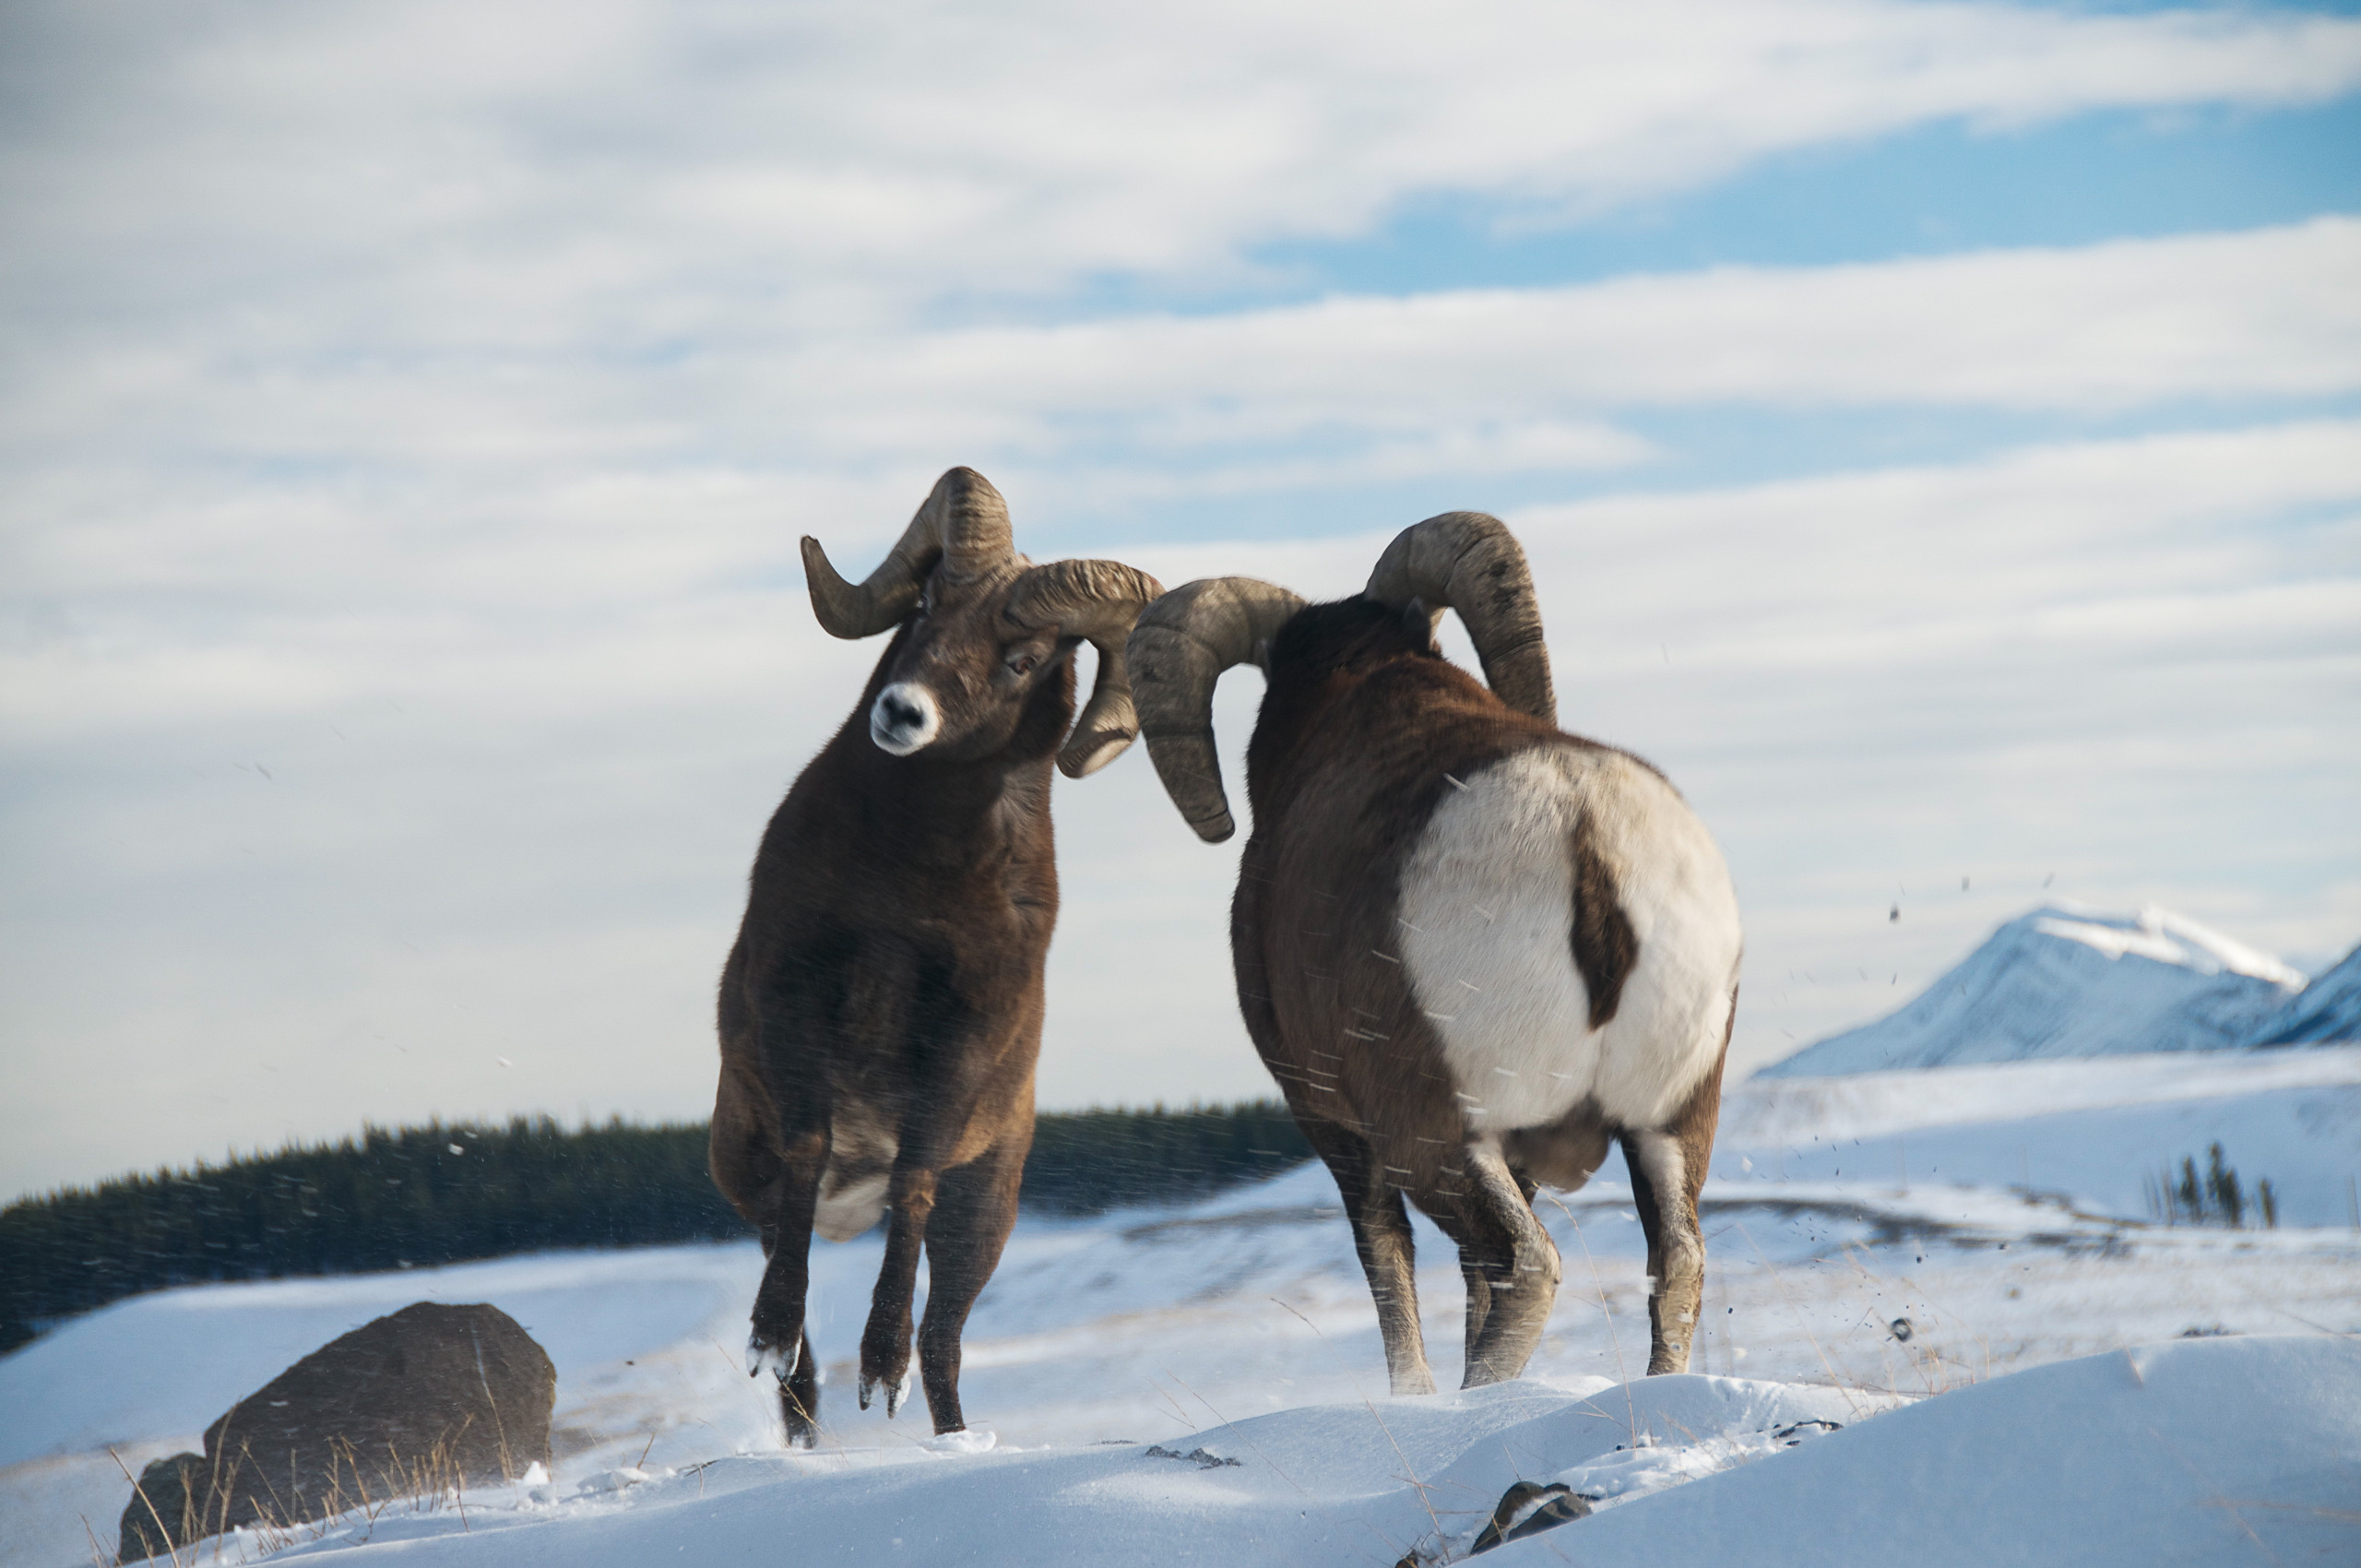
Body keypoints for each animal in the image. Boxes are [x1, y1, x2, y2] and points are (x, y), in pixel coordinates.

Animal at [713, 467, 1166, 1444]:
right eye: (927, 603)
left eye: (1022, 659)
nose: (901, 712)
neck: (906, 888)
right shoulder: (793, 997)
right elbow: (808, 1151)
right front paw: (770, 1333)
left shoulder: (962, 1045)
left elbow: (913, 1187)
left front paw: (878, 1372)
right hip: (749, 1180)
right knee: (805, 1362)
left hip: (984, 1214)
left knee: (944, 1343)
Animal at [1114, 512, 1747, 1388]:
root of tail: (1580, 824)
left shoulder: (1334, 1124)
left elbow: (1387, 1258)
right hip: (1672, 1122)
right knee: (1674, 1261)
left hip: (1439, 1131)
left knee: (1524, 1262)